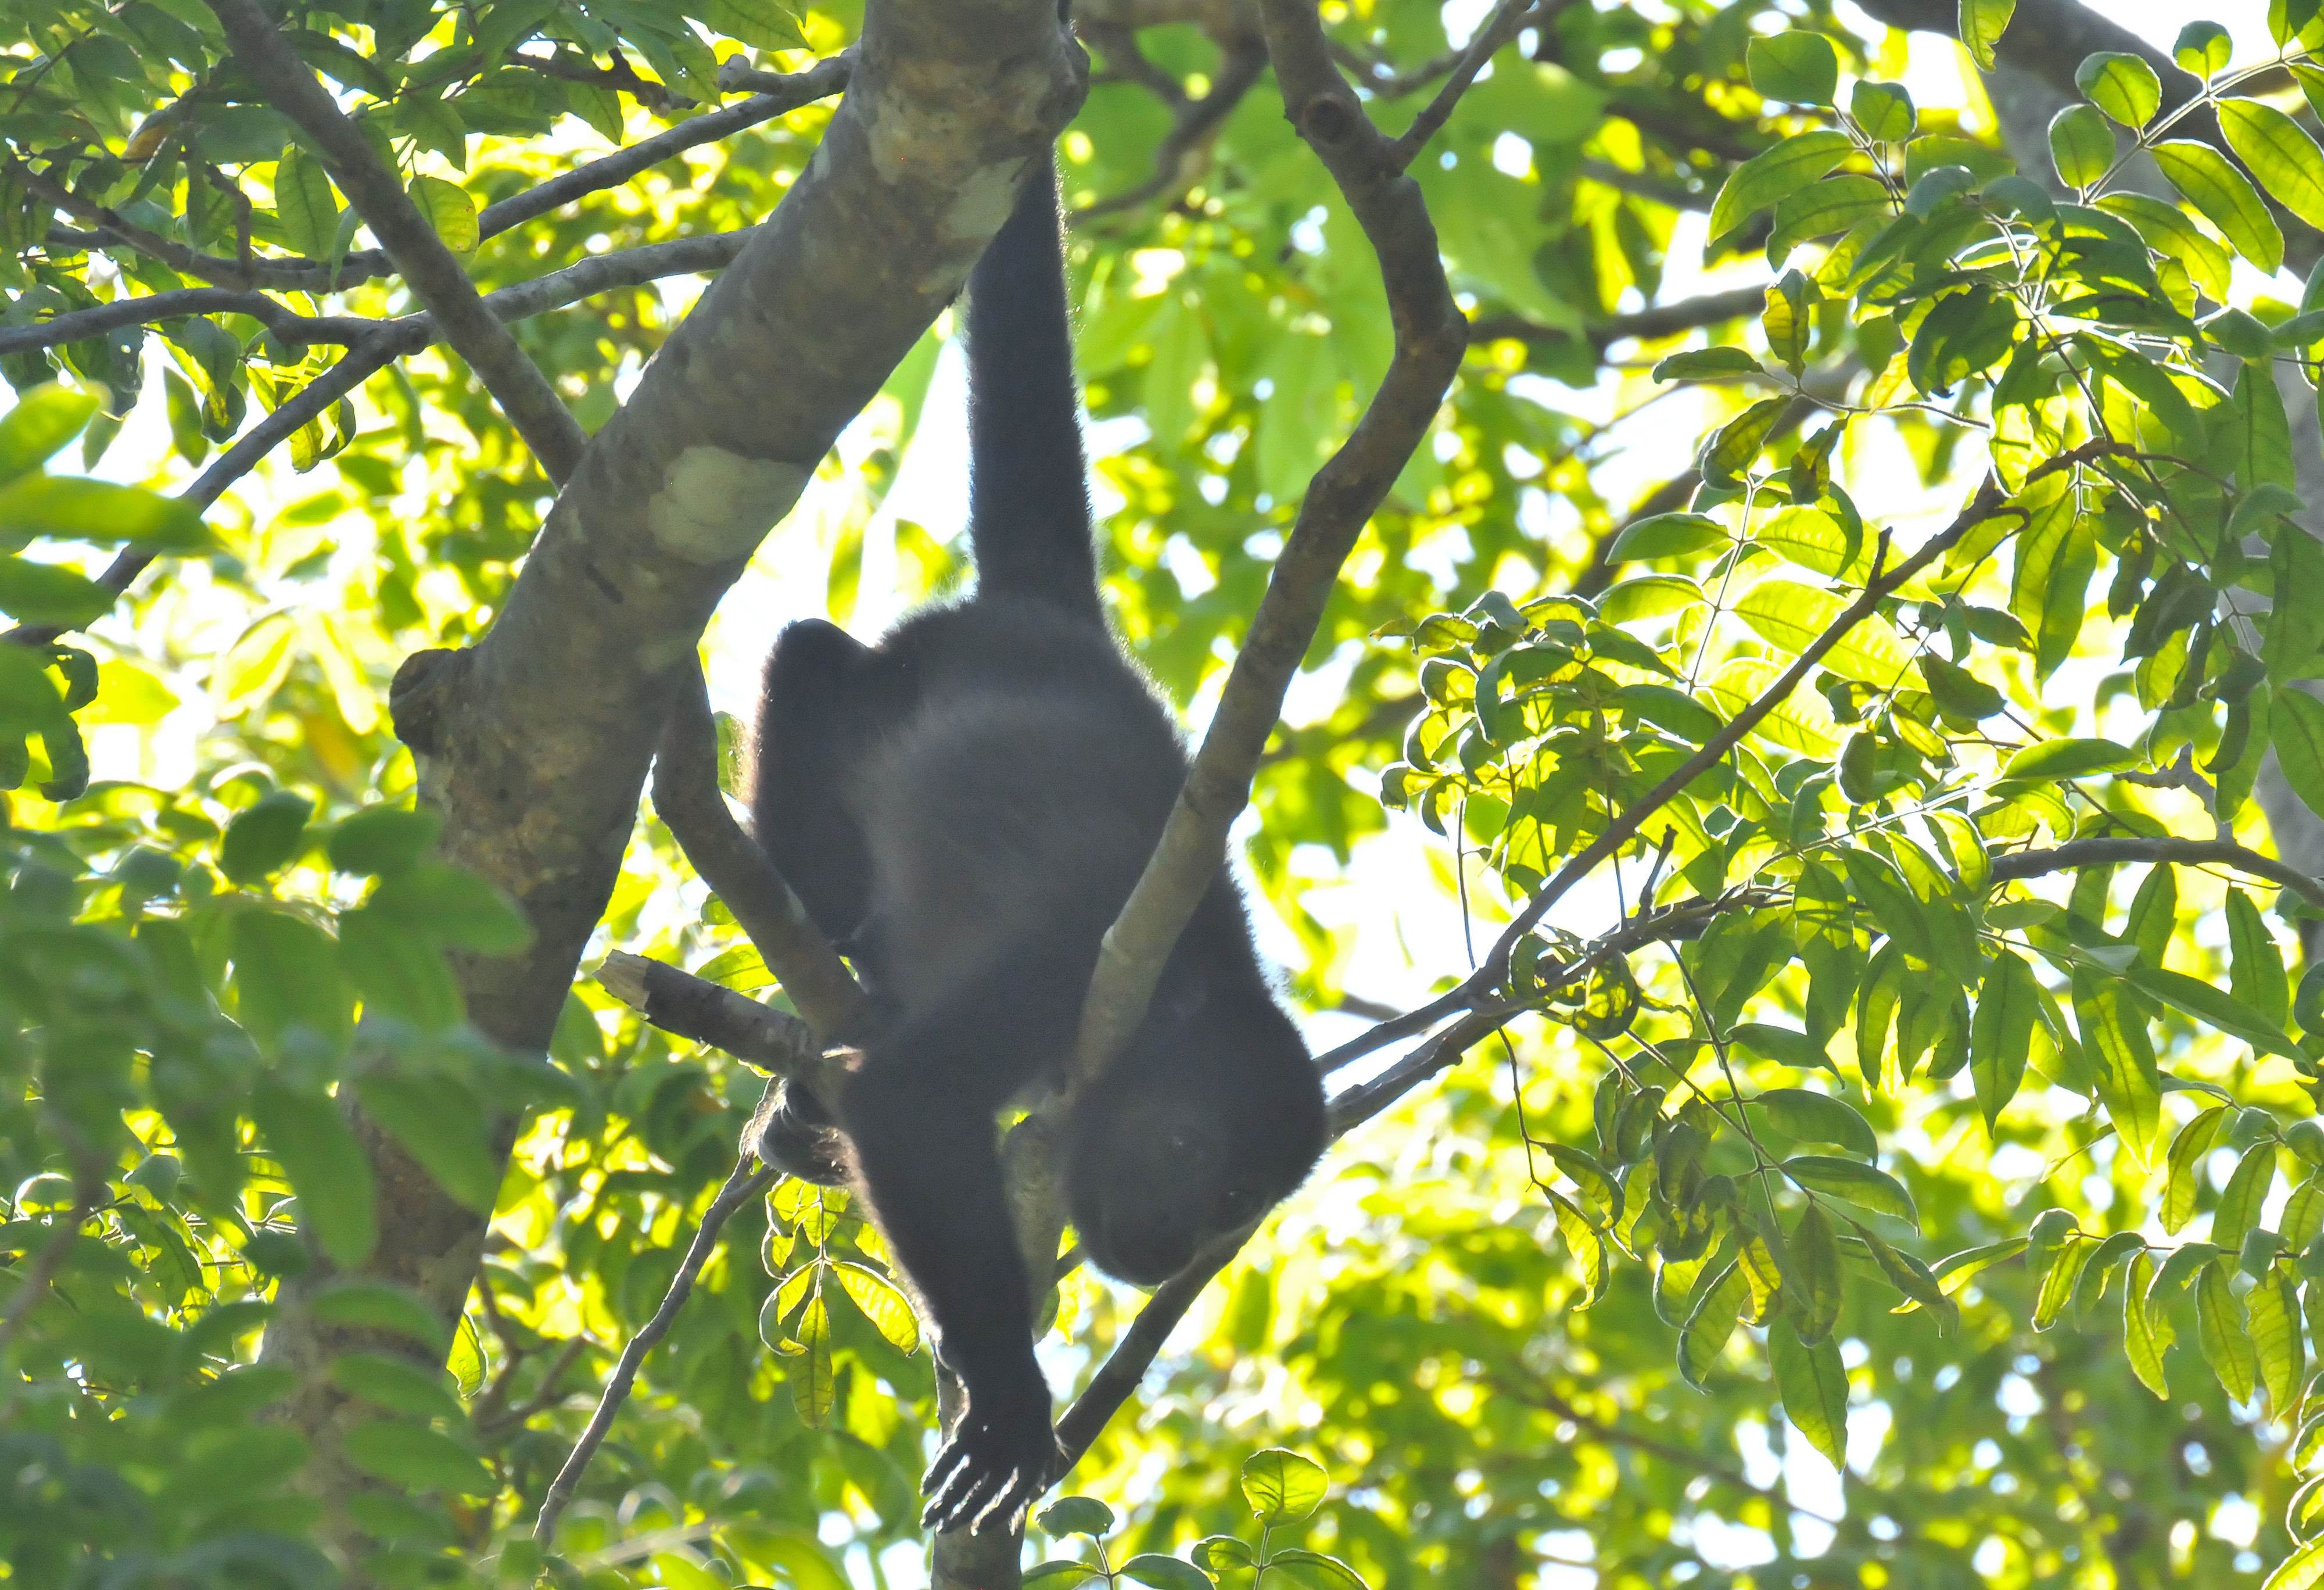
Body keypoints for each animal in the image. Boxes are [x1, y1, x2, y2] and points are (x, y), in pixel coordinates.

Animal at [744, 146, 1329, 1525]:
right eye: (1188, 1147)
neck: (1181, 981)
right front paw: (1011, 1399)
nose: (1166, 1249)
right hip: (900, 668)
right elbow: (907, 1100)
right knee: (810, 658)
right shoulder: (1060, 966)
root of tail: (1053, 612)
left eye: (1235, 1208)